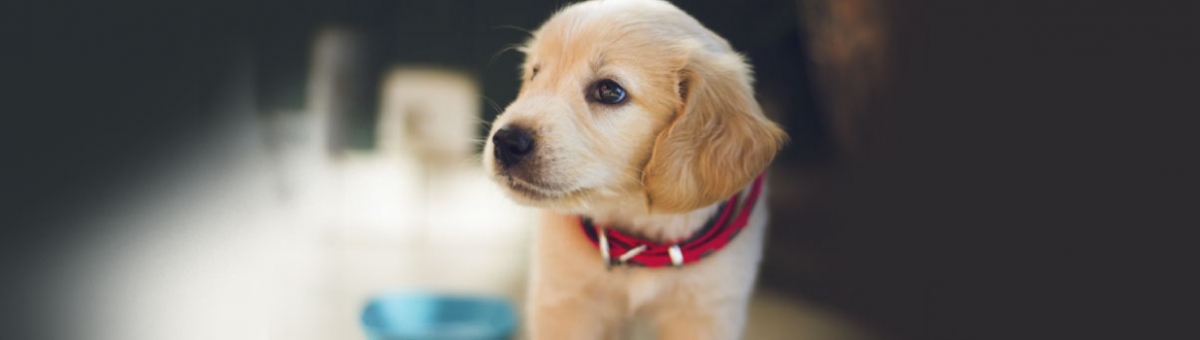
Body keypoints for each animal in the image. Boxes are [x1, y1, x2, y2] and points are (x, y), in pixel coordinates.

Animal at [482, 0, 792, 338]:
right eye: (535, 74)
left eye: (609, 91)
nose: (505, 141)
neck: (639, 239)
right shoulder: (564, 301)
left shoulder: (707, 310)